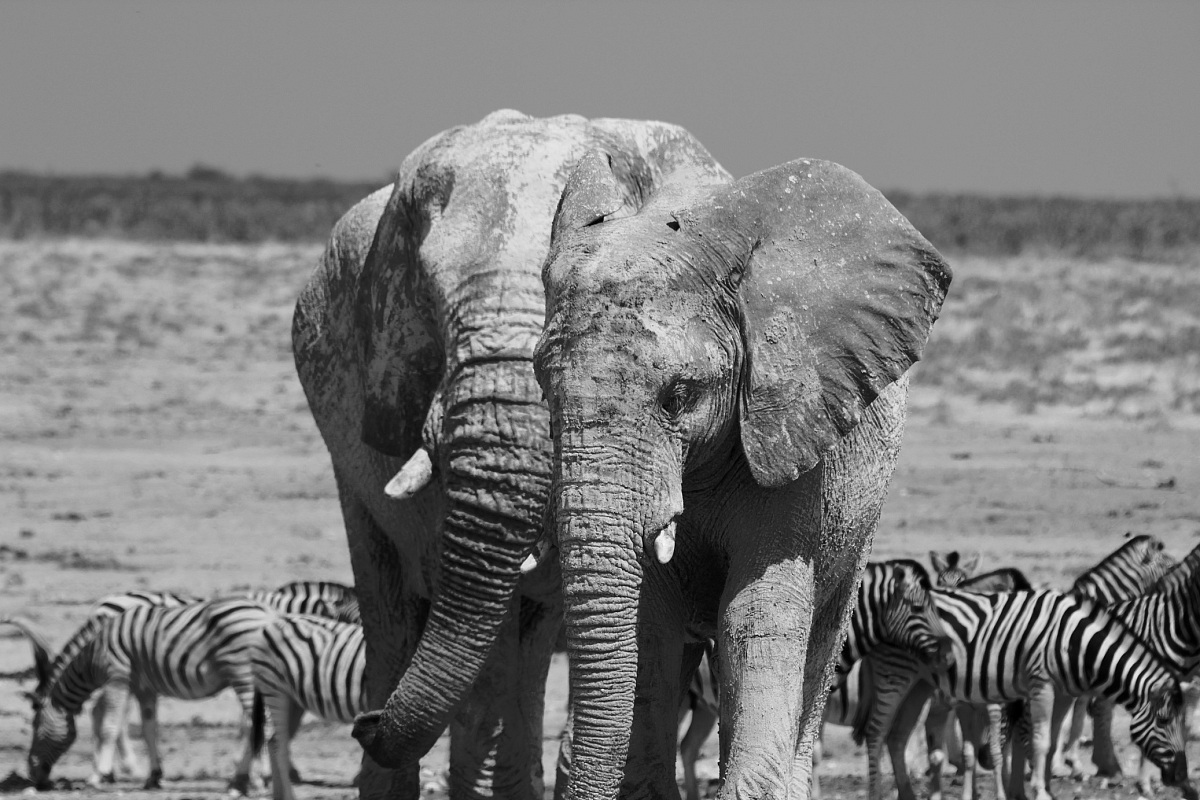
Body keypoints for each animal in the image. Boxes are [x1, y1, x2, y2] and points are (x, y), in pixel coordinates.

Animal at [532, 149, 952, 799]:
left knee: (818, 646)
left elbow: (752, 615)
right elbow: (650, 625)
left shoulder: (795, 433)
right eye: (542, 387)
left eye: (680, 395)